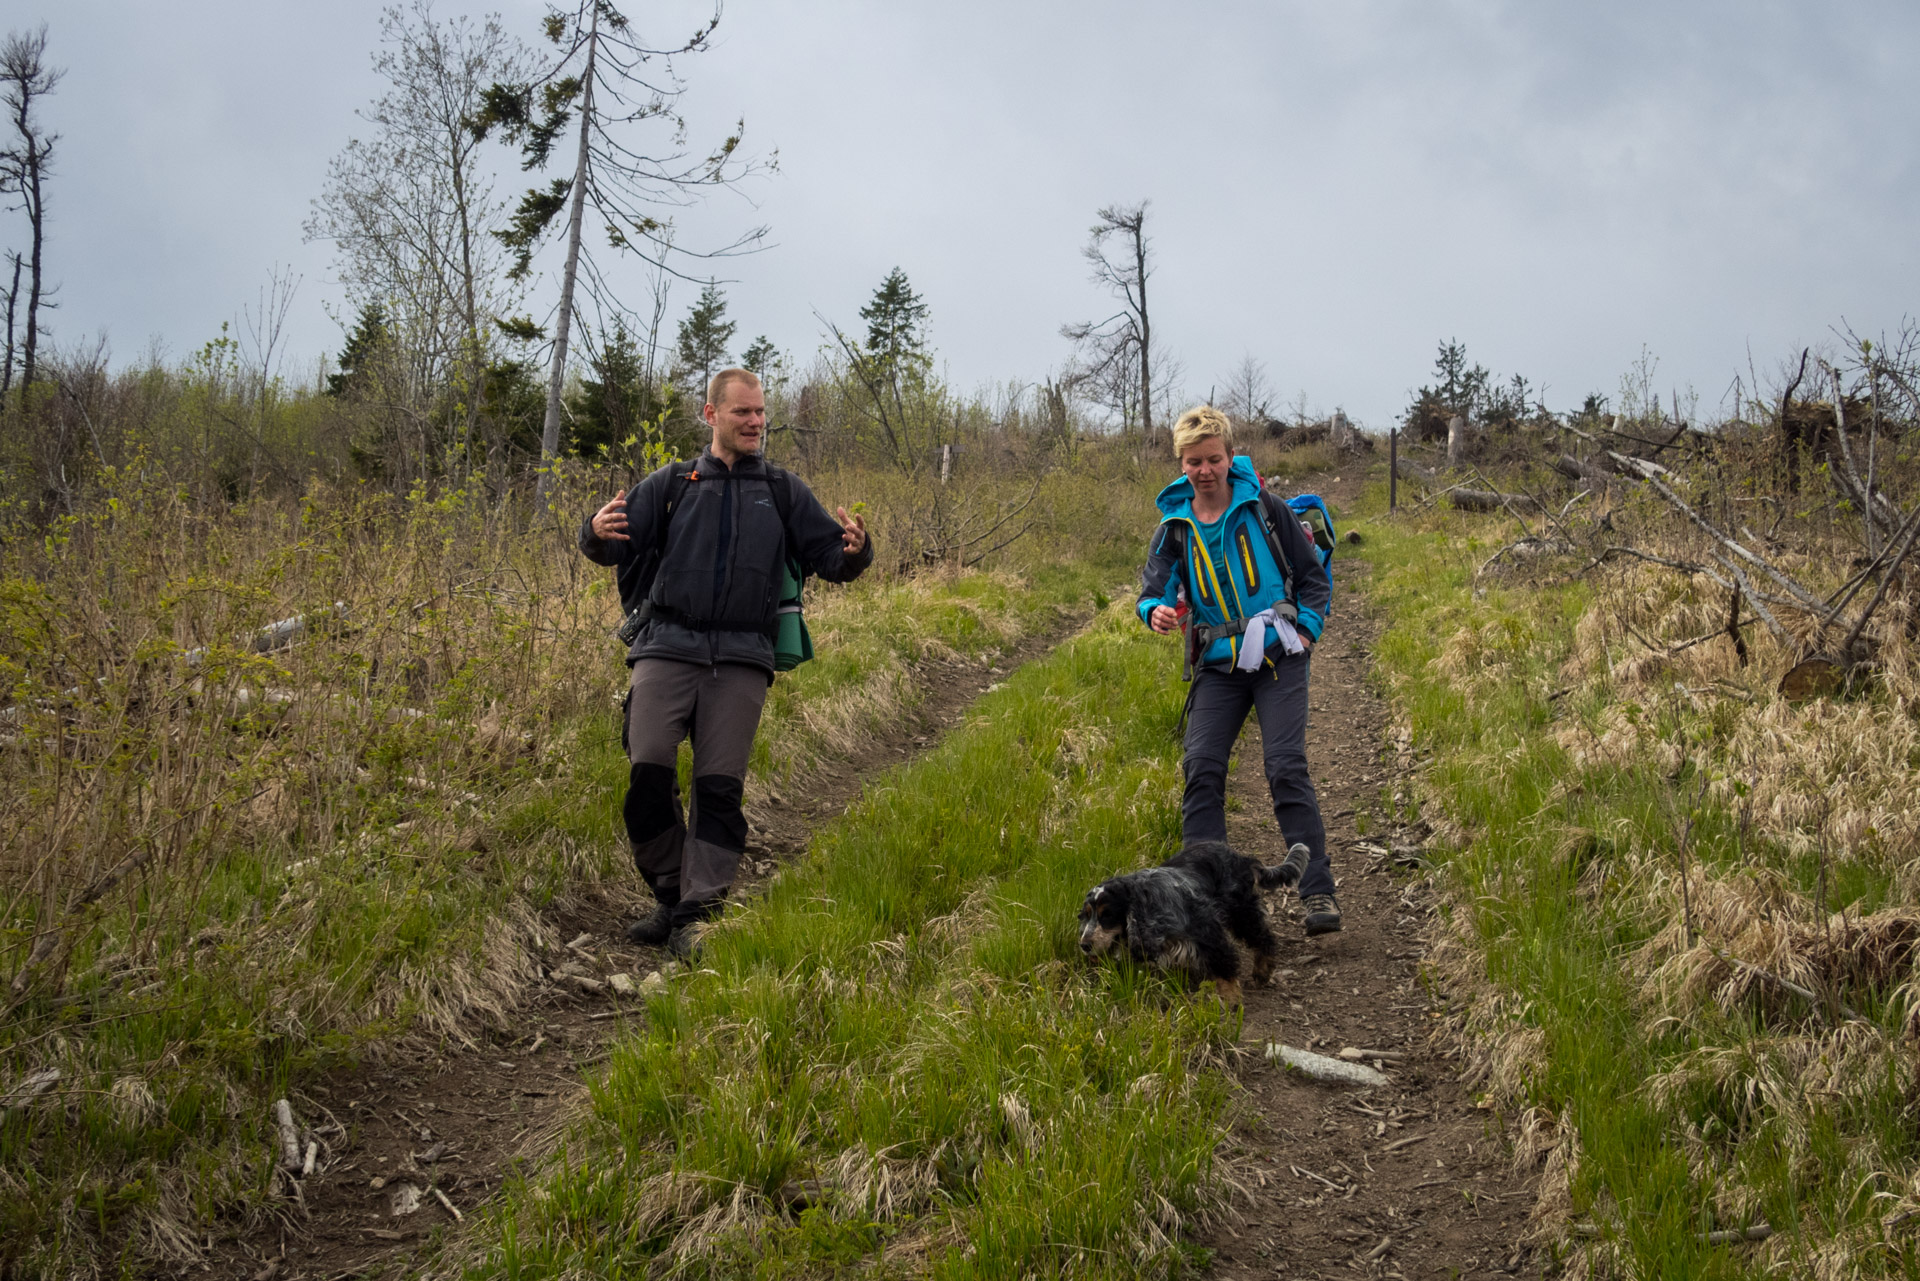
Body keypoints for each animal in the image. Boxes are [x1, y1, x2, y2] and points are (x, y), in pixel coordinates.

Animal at [1075, 845, 1313, 1006]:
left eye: (1107, 915)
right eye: (1086, 916)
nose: (1084, 945)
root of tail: (1241, 858)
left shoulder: (1206, 929)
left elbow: (1223, 962)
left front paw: (1231, 999)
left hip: (1241, 911)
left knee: (1263, 936)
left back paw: (1262, 971)